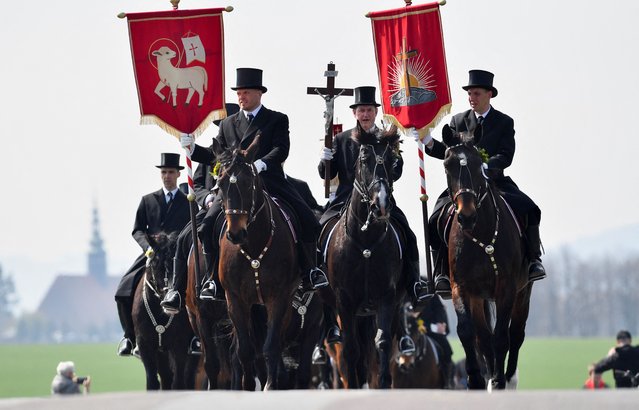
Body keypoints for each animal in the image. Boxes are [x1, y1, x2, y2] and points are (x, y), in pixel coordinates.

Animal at [131, 232, 198, 390]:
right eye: (155, 264)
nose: (168, 300)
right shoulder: (146, 346)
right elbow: (152, 382)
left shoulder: (180, 345)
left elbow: (179, 383)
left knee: (188, 379)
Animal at [211, 135, 298, 390]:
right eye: (221, 184)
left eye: (249, 183)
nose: (235, 234)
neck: (254, 249)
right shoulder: (235, 300)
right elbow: (245, 350)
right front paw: (248, 385)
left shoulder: (278, 298)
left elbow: (270, 346)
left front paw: (270, 385)